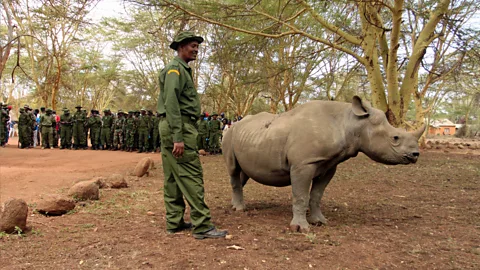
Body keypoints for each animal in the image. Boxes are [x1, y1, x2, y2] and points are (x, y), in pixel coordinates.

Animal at [222, 96, 424, 232]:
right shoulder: (303, 164)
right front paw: (300, 229)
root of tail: (235, 124)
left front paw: (319, 221)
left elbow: (317, 194)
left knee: (243, 173)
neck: (349, 122)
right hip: (229, 135)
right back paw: (240, 210)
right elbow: (301, 195)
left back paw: (234, 206)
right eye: (395, 138)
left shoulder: (328, 165)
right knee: (233, 170)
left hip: (249, 137)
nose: (416, 155)